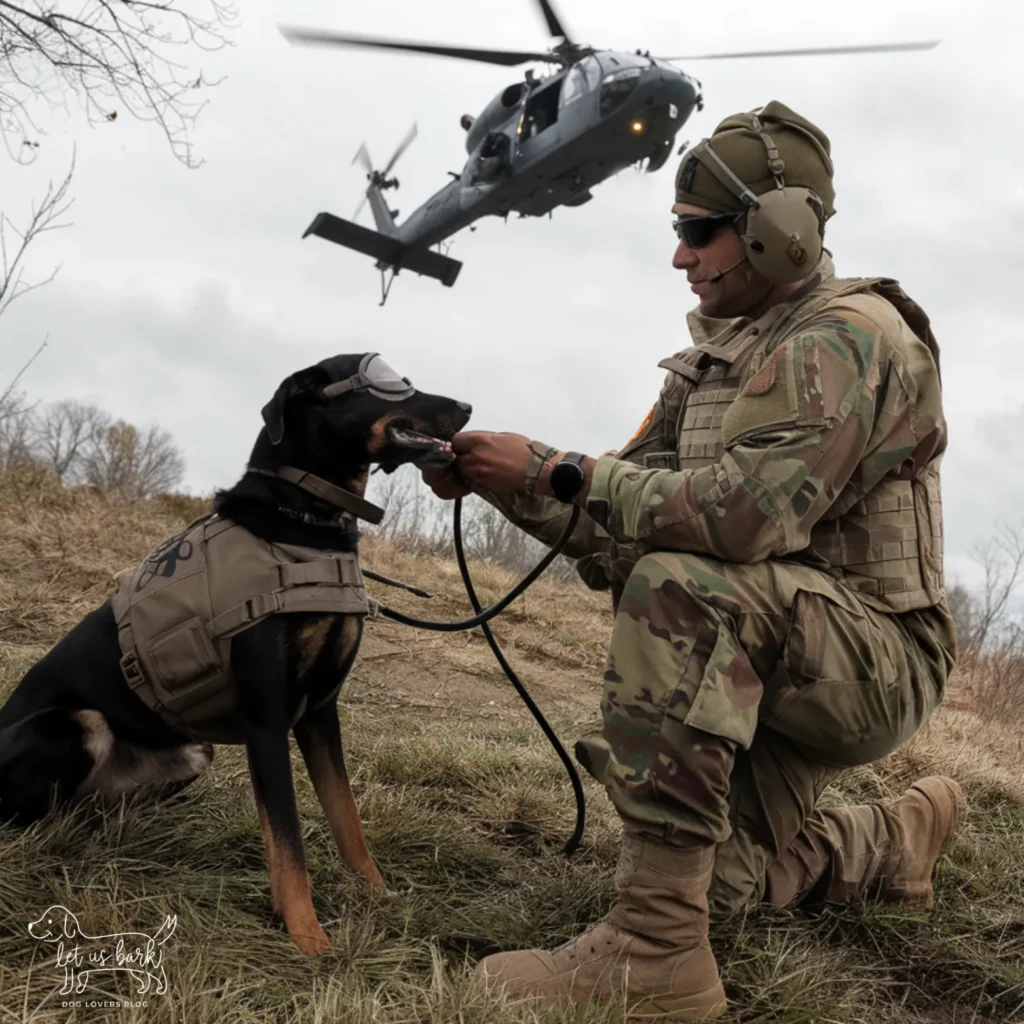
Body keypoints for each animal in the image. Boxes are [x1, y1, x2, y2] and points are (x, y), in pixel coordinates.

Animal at [0, 354, 471, 958]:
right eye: (388, 380)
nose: (468, 408)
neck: (307, 523)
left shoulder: (321, 712)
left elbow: (347, 817)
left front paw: (377, 894)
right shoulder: (267, 721)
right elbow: (288, 843)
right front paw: (310, 940)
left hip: (191, 752)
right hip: (76, 724)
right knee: (26, 819)